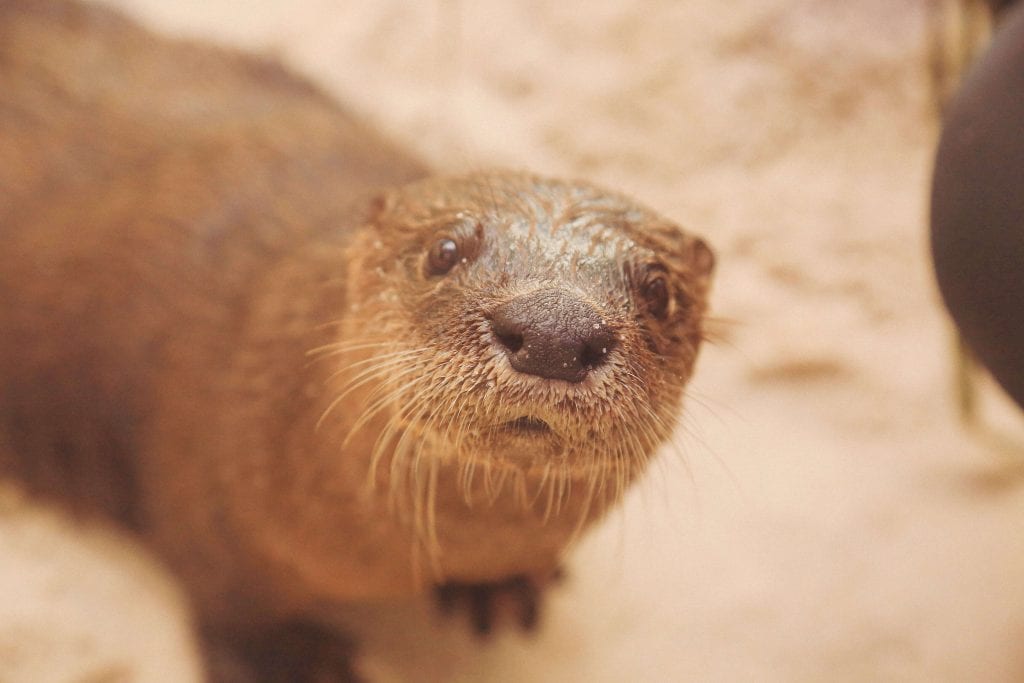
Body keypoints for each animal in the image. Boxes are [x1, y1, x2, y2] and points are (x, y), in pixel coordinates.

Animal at [0, 1, 715, 681]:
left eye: (658, 289)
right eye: (444, 250)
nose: (553, 331)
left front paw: (501, 587)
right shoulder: (203, 505)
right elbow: (225, 601)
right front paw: (288, 663)